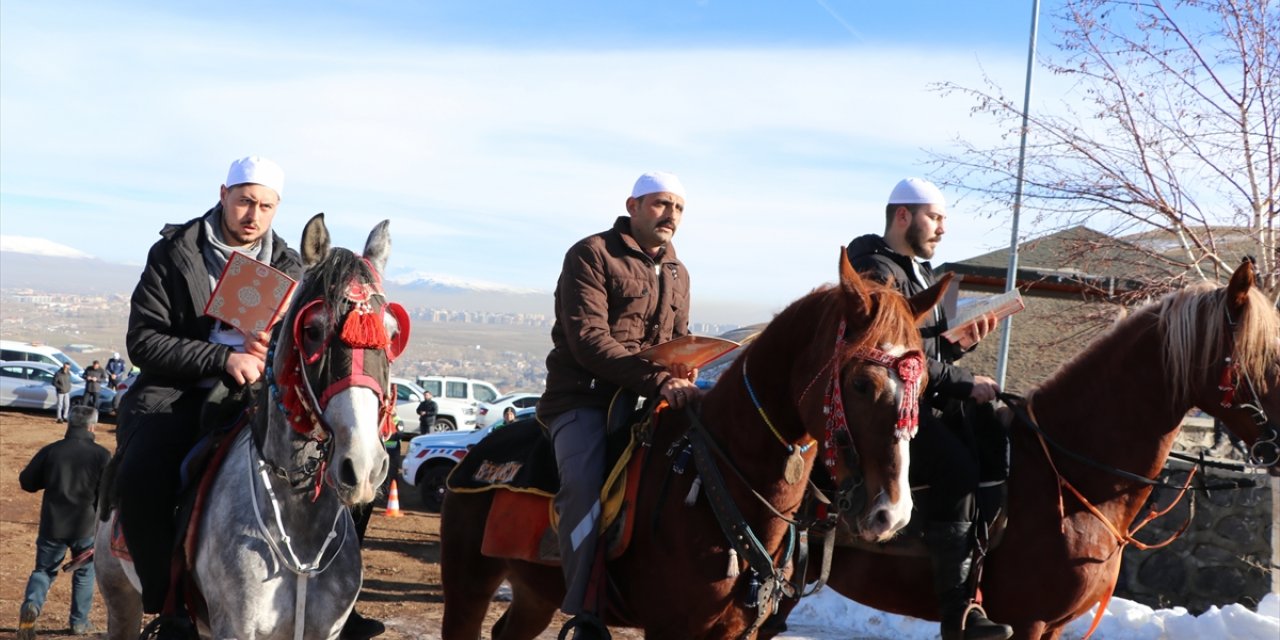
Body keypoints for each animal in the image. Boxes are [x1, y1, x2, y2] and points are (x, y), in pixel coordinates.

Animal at [97, 216, 412, 640]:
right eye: (312, 331)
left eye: (392, 334)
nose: (363, 466)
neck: (301, 529)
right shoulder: (235, 628)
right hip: (120, 597)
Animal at [440, 250, 952, 640]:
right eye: (863, 384)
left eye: (924, 386)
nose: (892, 514)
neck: (717, 480)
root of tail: (475, 454)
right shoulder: (671, 629)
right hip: (468, 586)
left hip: (534, 593)